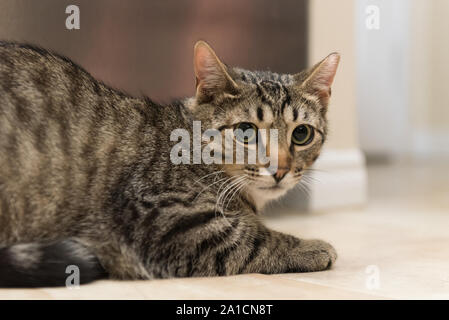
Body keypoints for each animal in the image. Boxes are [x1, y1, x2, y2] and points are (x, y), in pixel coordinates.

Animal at [0, 40, 340, 288]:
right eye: (246, 131)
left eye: (301, 133)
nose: (280, 169)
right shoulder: (165, 217)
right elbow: (253, 240)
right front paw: (310, 247)